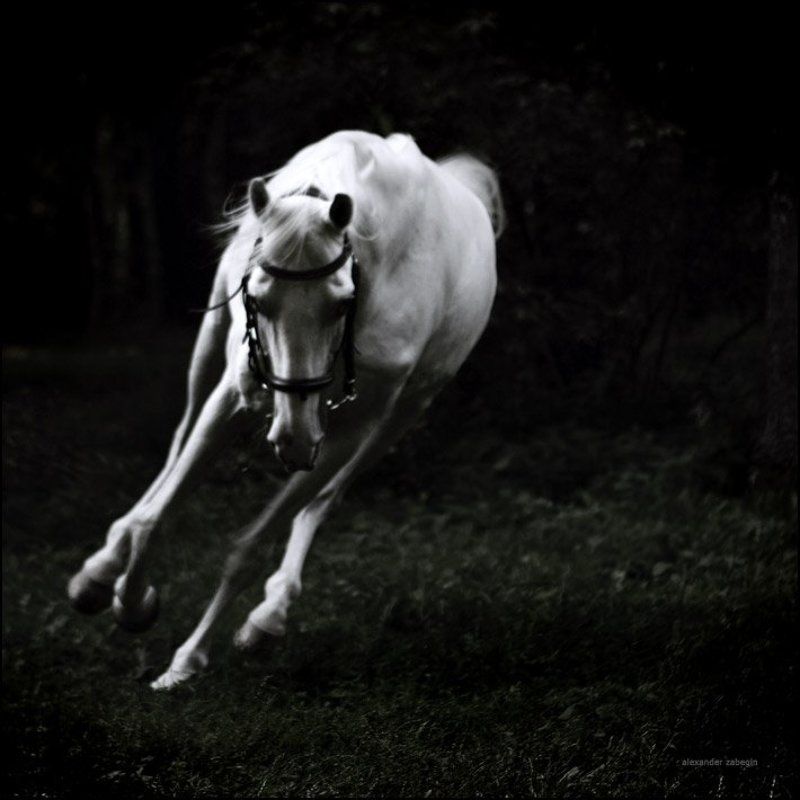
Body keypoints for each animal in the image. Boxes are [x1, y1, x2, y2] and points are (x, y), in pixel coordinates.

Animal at [67, 130, 504, 689]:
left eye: (342, 303)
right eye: (257, 296)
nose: (293, 437)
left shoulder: (348, 428)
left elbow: (251, 546)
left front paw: (187, 659)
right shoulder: (233, 395)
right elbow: (157, 516)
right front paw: (132, 601)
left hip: (400, 417)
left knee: (324, 499)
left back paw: (269, 616)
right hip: (209, 345)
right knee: (174, 447)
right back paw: (100, 571)